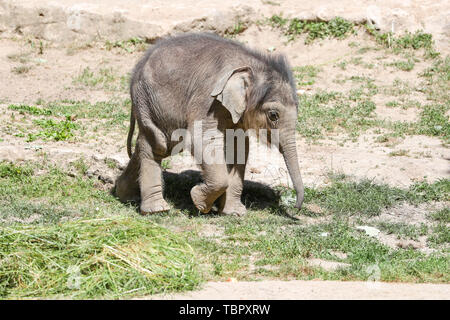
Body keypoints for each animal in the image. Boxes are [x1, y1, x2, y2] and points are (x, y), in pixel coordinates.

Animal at [116, 32, 306, 216]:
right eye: (273, 115)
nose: (295, 208)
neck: (250, 65)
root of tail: (137, 68)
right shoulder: (208, 99)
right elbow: (200, 139)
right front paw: (199, 203)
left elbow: (239, 148)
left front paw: (234, 213)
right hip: (149, 101)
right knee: (158, 145)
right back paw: (156, 210)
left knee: (154, 144)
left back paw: (124, 195)